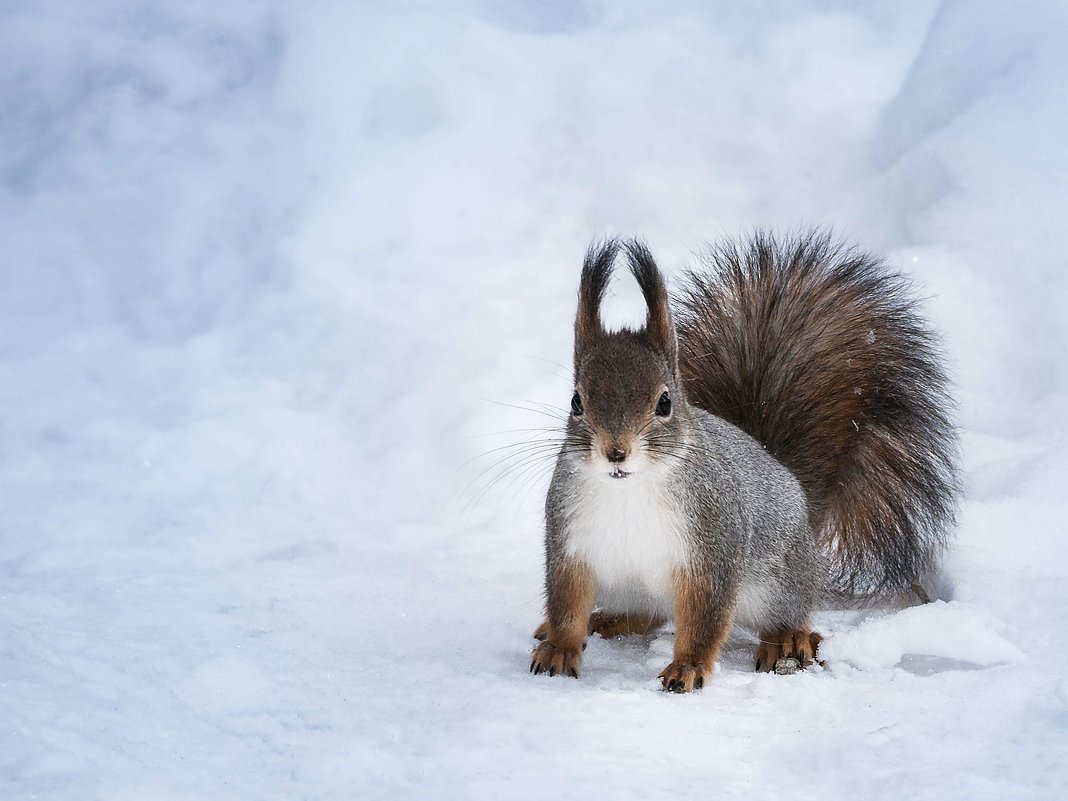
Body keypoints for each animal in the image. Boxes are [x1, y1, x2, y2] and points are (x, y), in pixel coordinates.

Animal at [531, 228, 961, 692]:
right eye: (576, 401)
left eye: (665, 402)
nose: (616, 451)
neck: (629, 488)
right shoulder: (570, 546)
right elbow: (566, 605)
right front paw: (558, 648)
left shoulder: (711, 550)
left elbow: (705, 619)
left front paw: (688, 666)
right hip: (631, 586)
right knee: (646, 615)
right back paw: (600, 621)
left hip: (779, 581)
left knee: (785, 614)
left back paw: (789, 639)